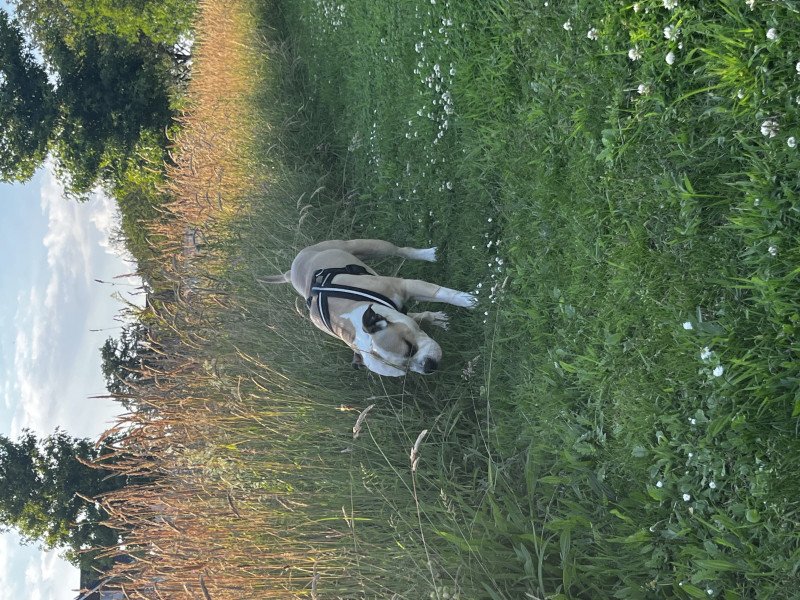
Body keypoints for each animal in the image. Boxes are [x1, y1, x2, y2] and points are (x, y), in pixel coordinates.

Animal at [260, 239, 476, 376]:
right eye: (405, 371)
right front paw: (436, 318)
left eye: (409, 347)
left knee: (399, 250)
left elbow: (440, 293)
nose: (428, 366)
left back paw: (428, 254)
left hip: (364, 245)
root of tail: (290, 273)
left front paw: (466, 300)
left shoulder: (404, 286)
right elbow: (417, 317)